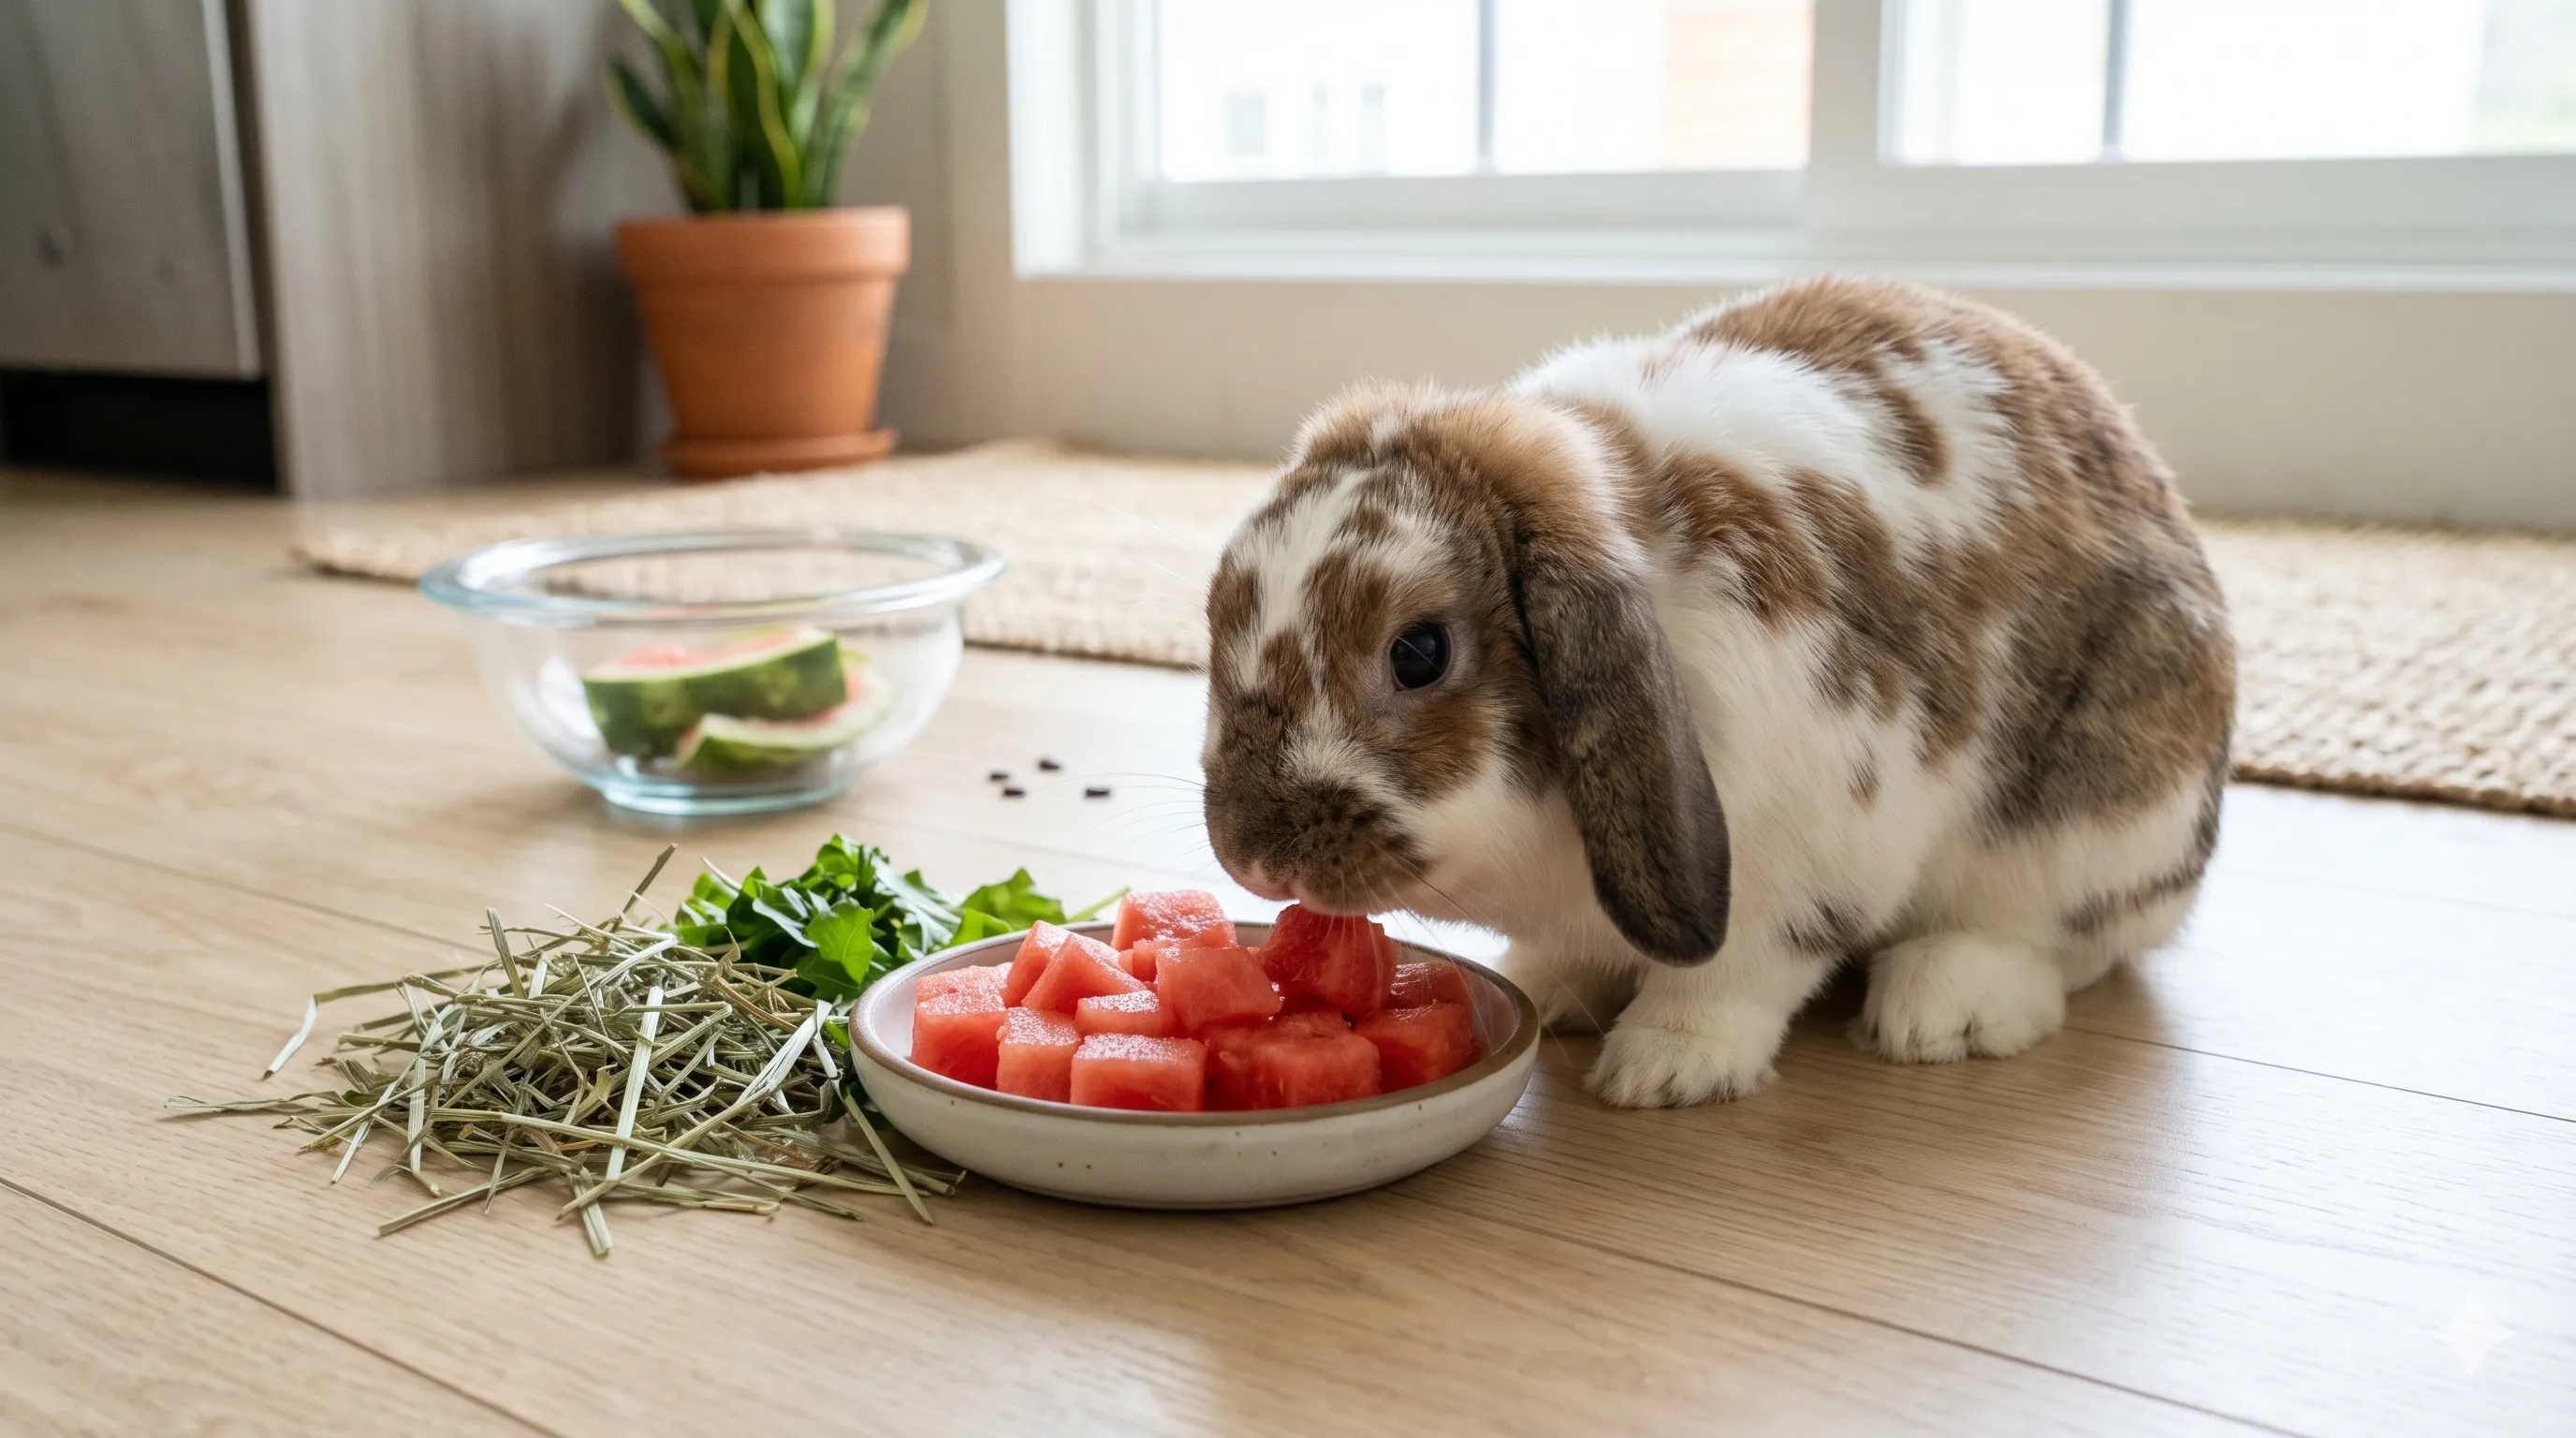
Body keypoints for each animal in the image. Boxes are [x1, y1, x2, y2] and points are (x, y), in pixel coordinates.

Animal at [1198, 276, 2235, 1108]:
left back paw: (1942, 1008)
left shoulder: (1798, 865)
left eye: (1417, 653)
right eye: (1218, 618)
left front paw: (1662, 1068)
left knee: (2059, 941)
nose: (1253, 857)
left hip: (2098, 818)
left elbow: (1730, 978)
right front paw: (1552, 987)